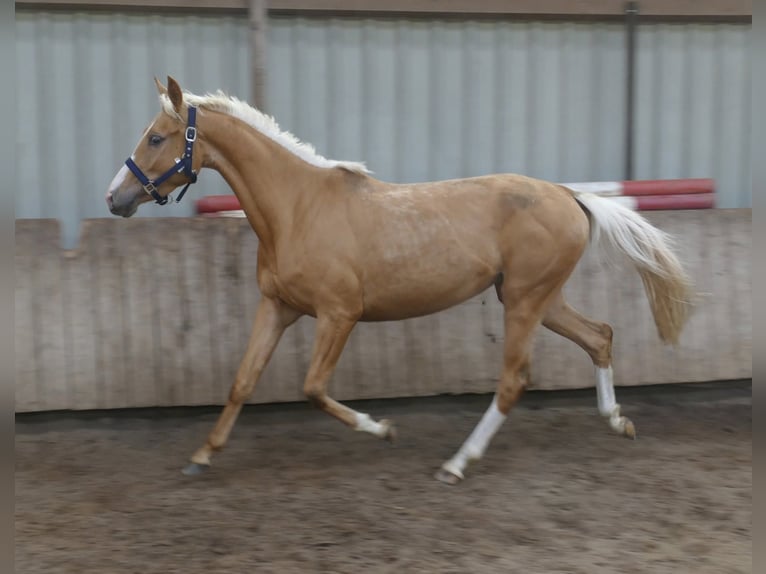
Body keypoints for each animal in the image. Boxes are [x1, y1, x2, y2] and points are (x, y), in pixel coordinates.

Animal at [106, 76, 694, 484]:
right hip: (536, 297)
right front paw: (201, 456)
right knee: (600, 335)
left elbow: (313, 388)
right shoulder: (277, 307)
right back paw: (618, 421)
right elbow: (241, 382)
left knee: (514, 380)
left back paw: (457, 463)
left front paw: (383, 429)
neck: (297, 208)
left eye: (156, 138)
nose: (115, 199)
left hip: (525, 302)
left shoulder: (339, 315)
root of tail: (570, 196)